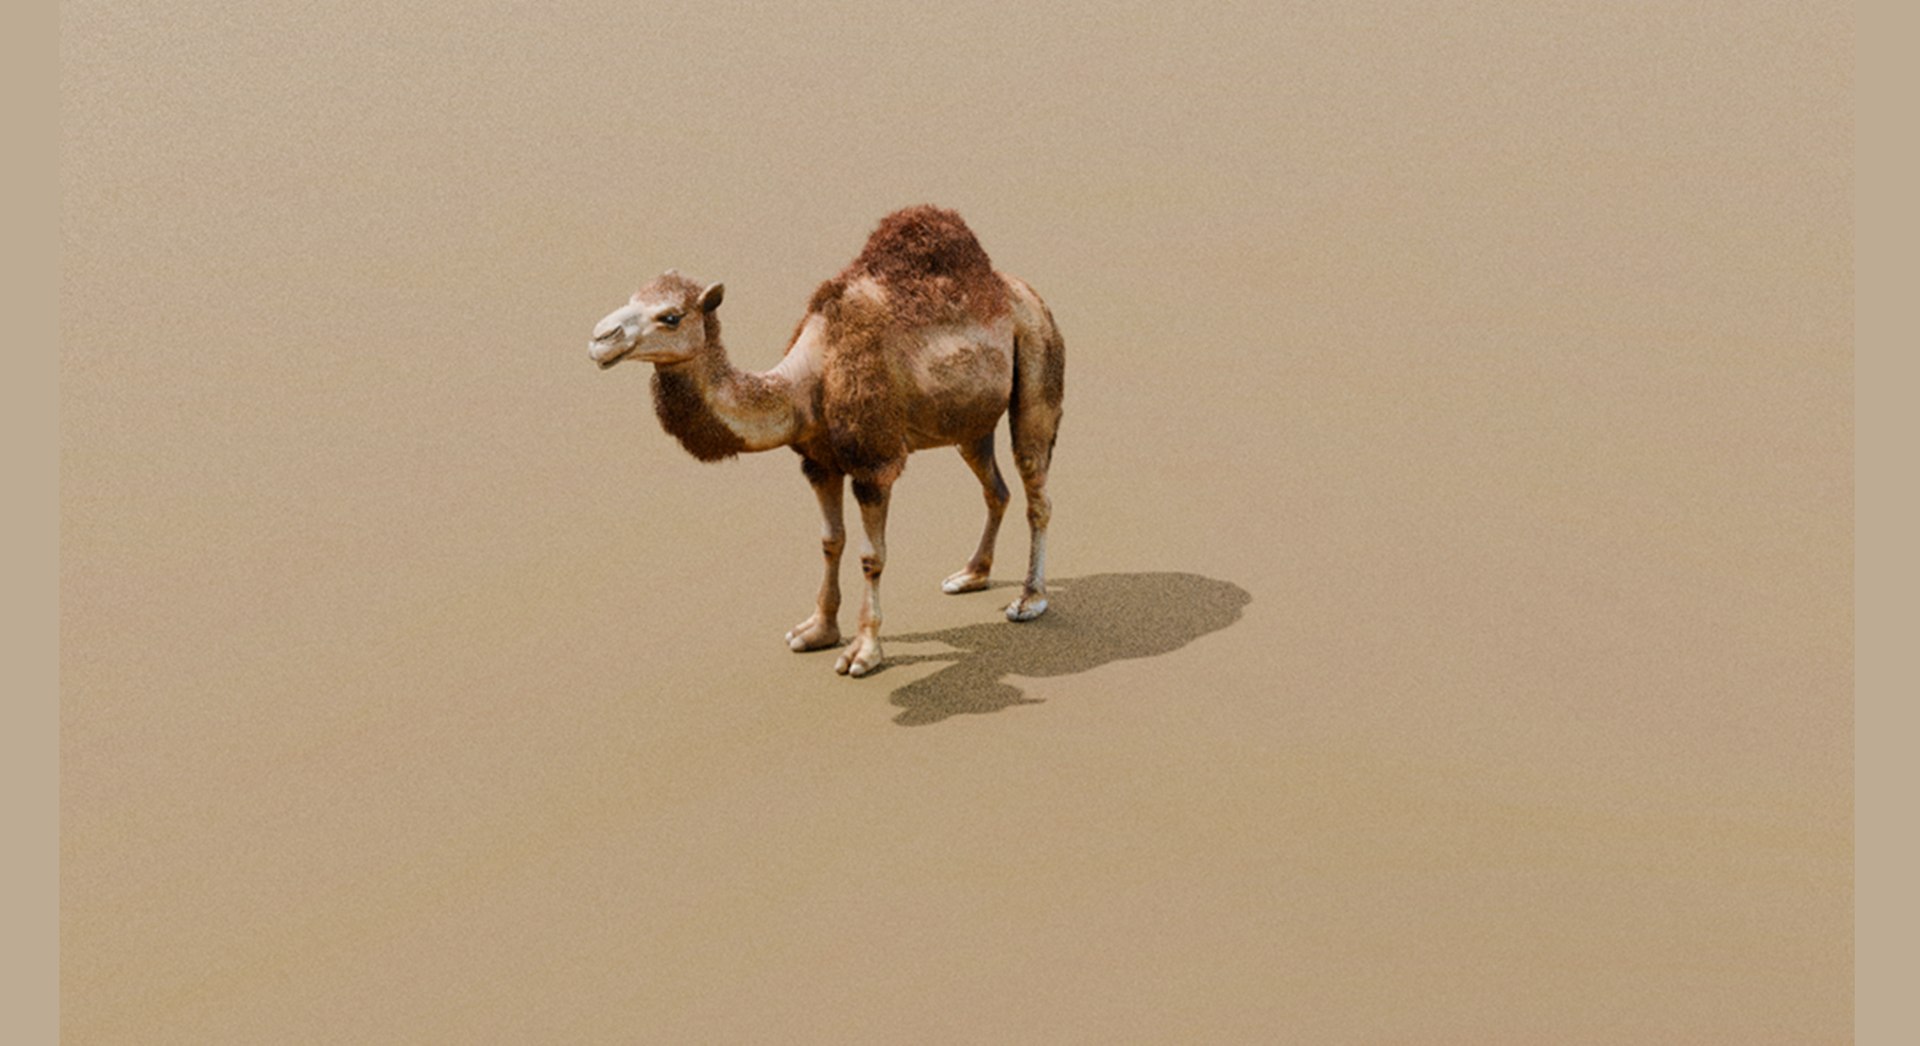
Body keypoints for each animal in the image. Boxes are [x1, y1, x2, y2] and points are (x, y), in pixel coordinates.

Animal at [587, 206, 1065, 677]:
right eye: (632, 298)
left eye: (670, 316)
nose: (599, 338)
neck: (808, 380)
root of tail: (1024, 290)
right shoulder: (818, 462)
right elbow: (830, 541)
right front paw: (816, 631)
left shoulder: (875, 463)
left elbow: (872, 555)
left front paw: (863, 653)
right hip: (969, 420)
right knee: (995, 487)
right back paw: (970, 576)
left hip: (1038, 349)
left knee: (1035, 484)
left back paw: (1029, 600)